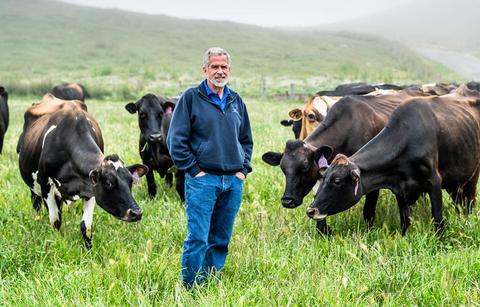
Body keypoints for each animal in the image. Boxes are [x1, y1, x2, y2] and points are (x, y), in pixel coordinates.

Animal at [17, 95, 148, 250]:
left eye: (131, 181)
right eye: (108, 183)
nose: (137, 213)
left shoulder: (89, 188)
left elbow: (86, 226)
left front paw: (89, 251)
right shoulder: (45, 184)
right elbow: (55, 221)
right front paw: (57, 242)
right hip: (33, 185)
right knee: (36, 203)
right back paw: (38, 221)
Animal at [262, 88, 432, 235]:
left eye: (305, 166)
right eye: (283, 168)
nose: (287, 201)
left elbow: (368, 209)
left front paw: (368, 232)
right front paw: (325, 232)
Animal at [308, 84, 480, 236]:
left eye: (337, 181)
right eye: (322, 177)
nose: (311, 210)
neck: (407, 141)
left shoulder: (434, 181)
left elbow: (437, 218)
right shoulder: (400, 187)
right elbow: (406, 220)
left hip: (473, 175)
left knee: (470, 201)